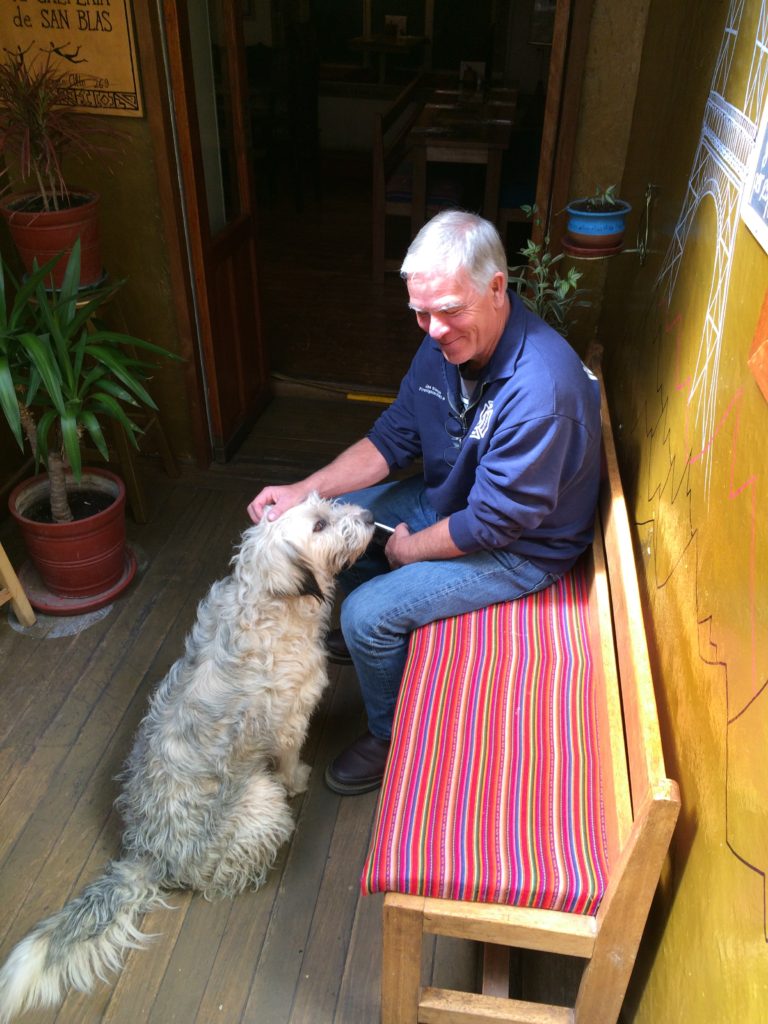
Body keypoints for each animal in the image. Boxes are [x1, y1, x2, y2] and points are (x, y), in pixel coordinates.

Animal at [0, 491, 376, 1019]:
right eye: (320, 523)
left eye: (326, 503)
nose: (368, 517)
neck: (265, 601)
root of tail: (147, 853)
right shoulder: (291, 718)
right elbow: (287, 759)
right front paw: (299, 777)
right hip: (261, 803)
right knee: (228, 873)